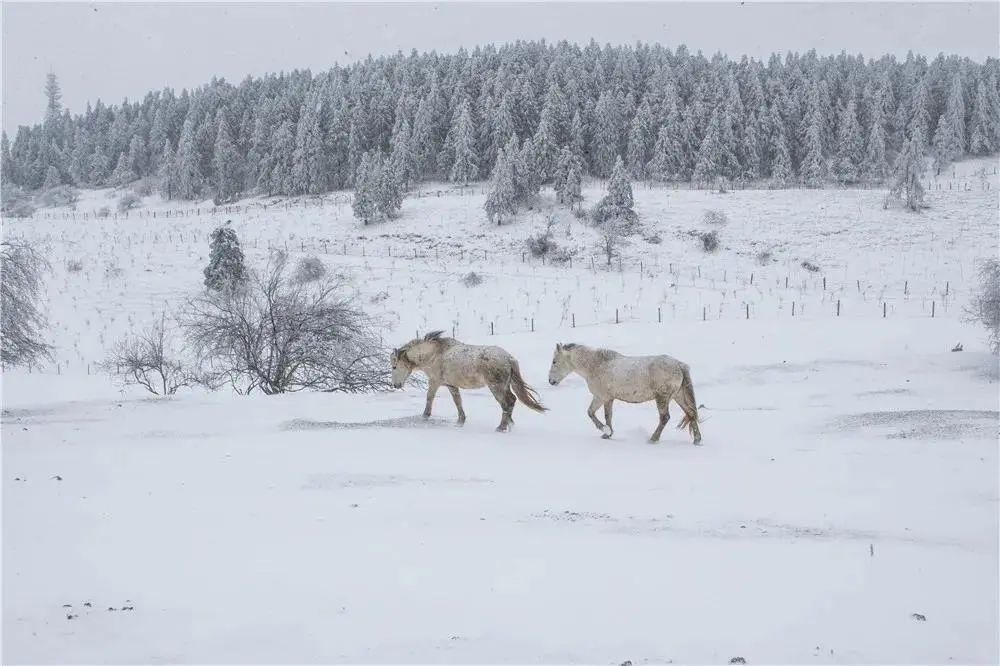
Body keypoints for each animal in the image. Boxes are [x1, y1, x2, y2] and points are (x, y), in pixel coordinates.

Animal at [390, 330, 548, 430]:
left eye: (394, 366)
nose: (395, 385)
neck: (435, 354)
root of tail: (508, 358)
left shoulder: (435, 382)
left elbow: (429, 398)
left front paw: (424, 417)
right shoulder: (451, 385)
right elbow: (458, 402)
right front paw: (460, 422)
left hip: (496, 387)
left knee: (507, 403)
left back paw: (501, 427)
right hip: (505, 386)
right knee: (512, 401)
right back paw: (509, 424)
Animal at [548, 342, 704, 440]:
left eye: (554, 361)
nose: (551, 381)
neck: (596, 365)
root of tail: (679, 364)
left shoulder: (600, 397)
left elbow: (590, 413)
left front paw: (604, 430)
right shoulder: (609, 399)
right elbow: (608, 416)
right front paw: (608, 434)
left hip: (662, 398)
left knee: (665, 418)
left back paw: (653, 439)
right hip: (679, 396)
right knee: (691, 414)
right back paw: (697, 440)